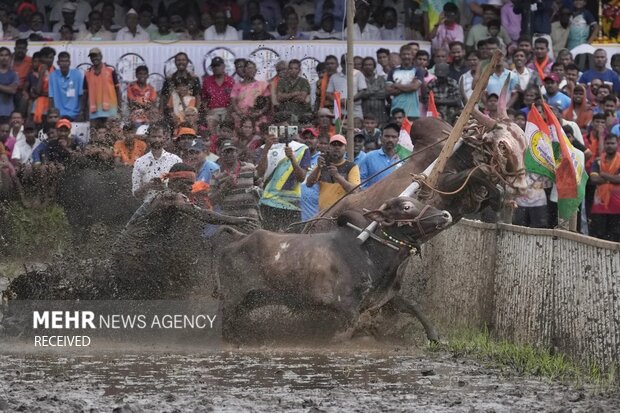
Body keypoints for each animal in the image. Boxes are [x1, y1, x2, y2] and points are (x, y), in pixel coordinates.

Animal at [217, 196, 450, 342]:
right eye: (406, 207)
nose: (446, 214)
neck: (370, 249)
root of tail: (239, 238)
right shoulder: (348, 310)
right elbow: (342, 337)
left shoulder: (384, 296)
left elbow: (413, 306)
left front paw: (435, 336)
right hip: (232, 299)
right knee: (226, 325)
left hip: (252, 299)